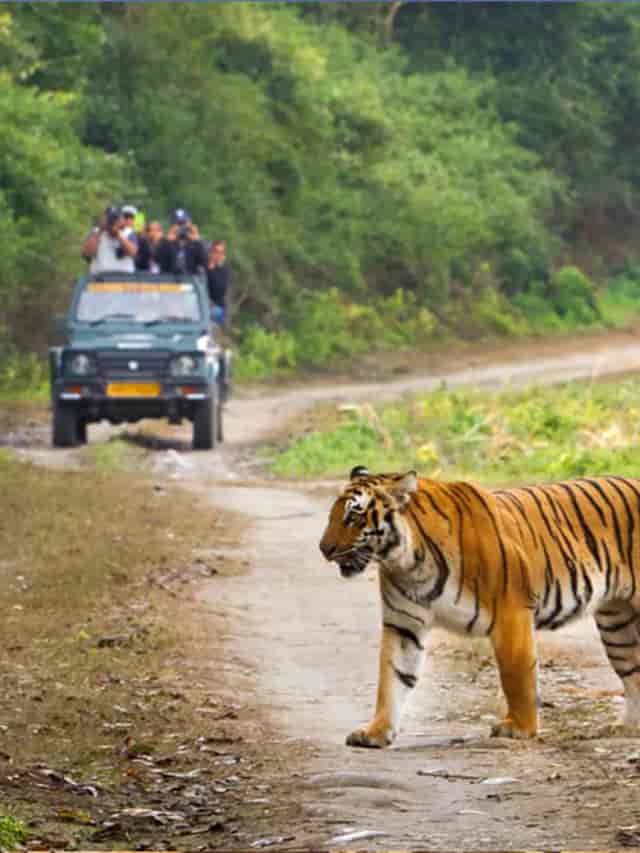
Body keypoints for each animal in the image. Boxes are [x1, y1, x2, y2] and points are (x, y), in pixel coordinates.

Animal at [320, 462, 640, 748]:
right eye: (333, 515)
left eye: (353, 517)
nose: (324, 549)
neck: (407, 562)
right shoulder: (403, 624)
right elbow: (392, 678)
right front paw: (376, 732)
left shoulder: (511, 612)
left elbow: (516, 675)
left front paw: (520, 728)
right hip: (617, 624)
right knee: (633, 671)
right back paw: (627, 728)